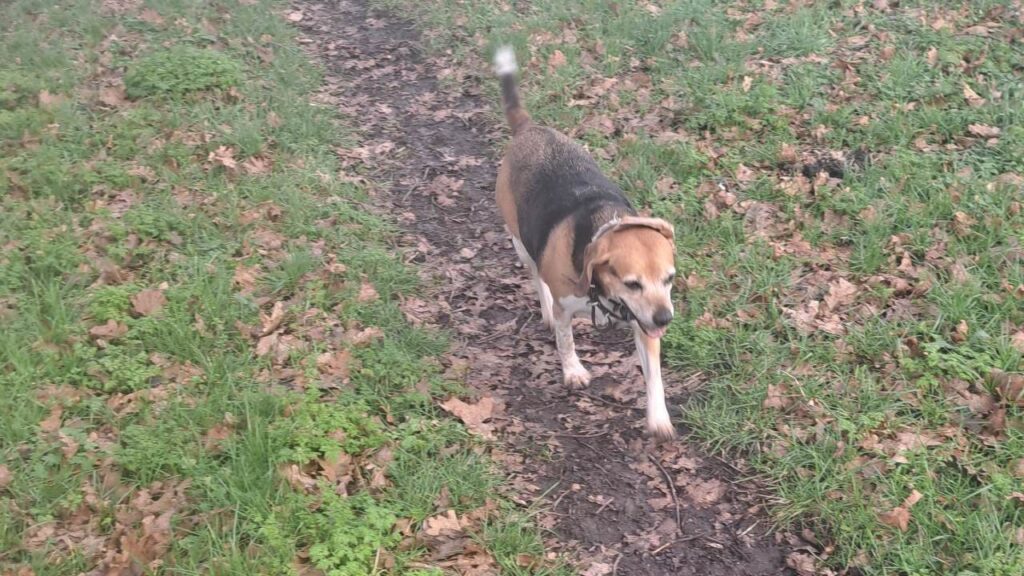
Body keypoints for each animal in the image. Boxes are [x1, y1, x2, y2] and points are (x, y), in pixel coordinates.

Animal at [489, 47, 675, 436]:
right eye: (632, 283)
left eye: (669, 279)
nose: (665, 318)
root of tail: (529, 128)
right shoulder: (567, 306)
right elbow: (566, 339)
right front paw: (573, 371)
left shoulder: (644, 326)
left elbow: (655, 378)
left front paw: (658, 418)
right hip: (520, 243)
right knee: (536, 278)